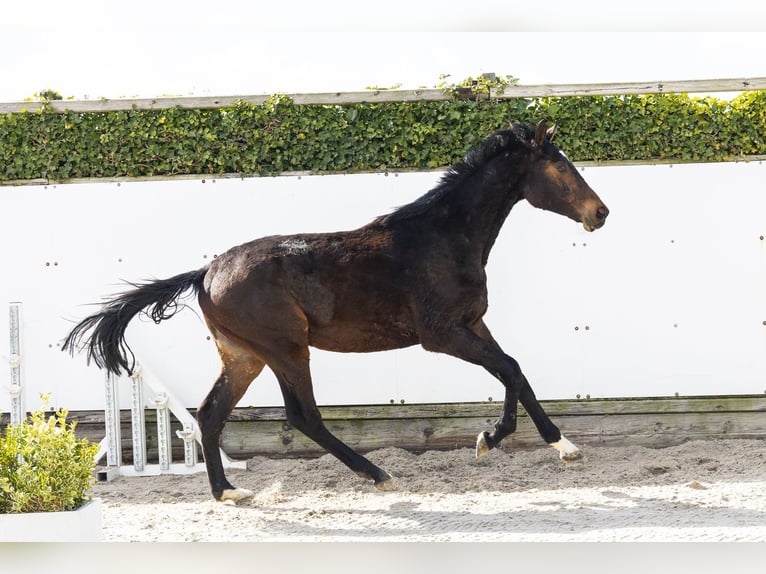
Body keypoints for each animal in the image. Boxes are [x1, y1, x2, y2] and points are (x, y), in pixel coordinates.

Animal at [63, 120, 609, 502]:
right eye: (560, 166)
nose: (600, 213)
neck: (444, 238)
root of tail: (206, 272)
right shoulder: (442, 334)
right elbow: (510, 369)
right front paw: (523, 440)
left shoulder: (473, 323)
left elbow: (514, 372)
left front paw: (517, 440)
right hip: (286, 348)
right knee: (302, 416)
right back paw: (379, 474)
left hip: (244, 355)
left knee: (209, 414)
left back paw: (229, 493)